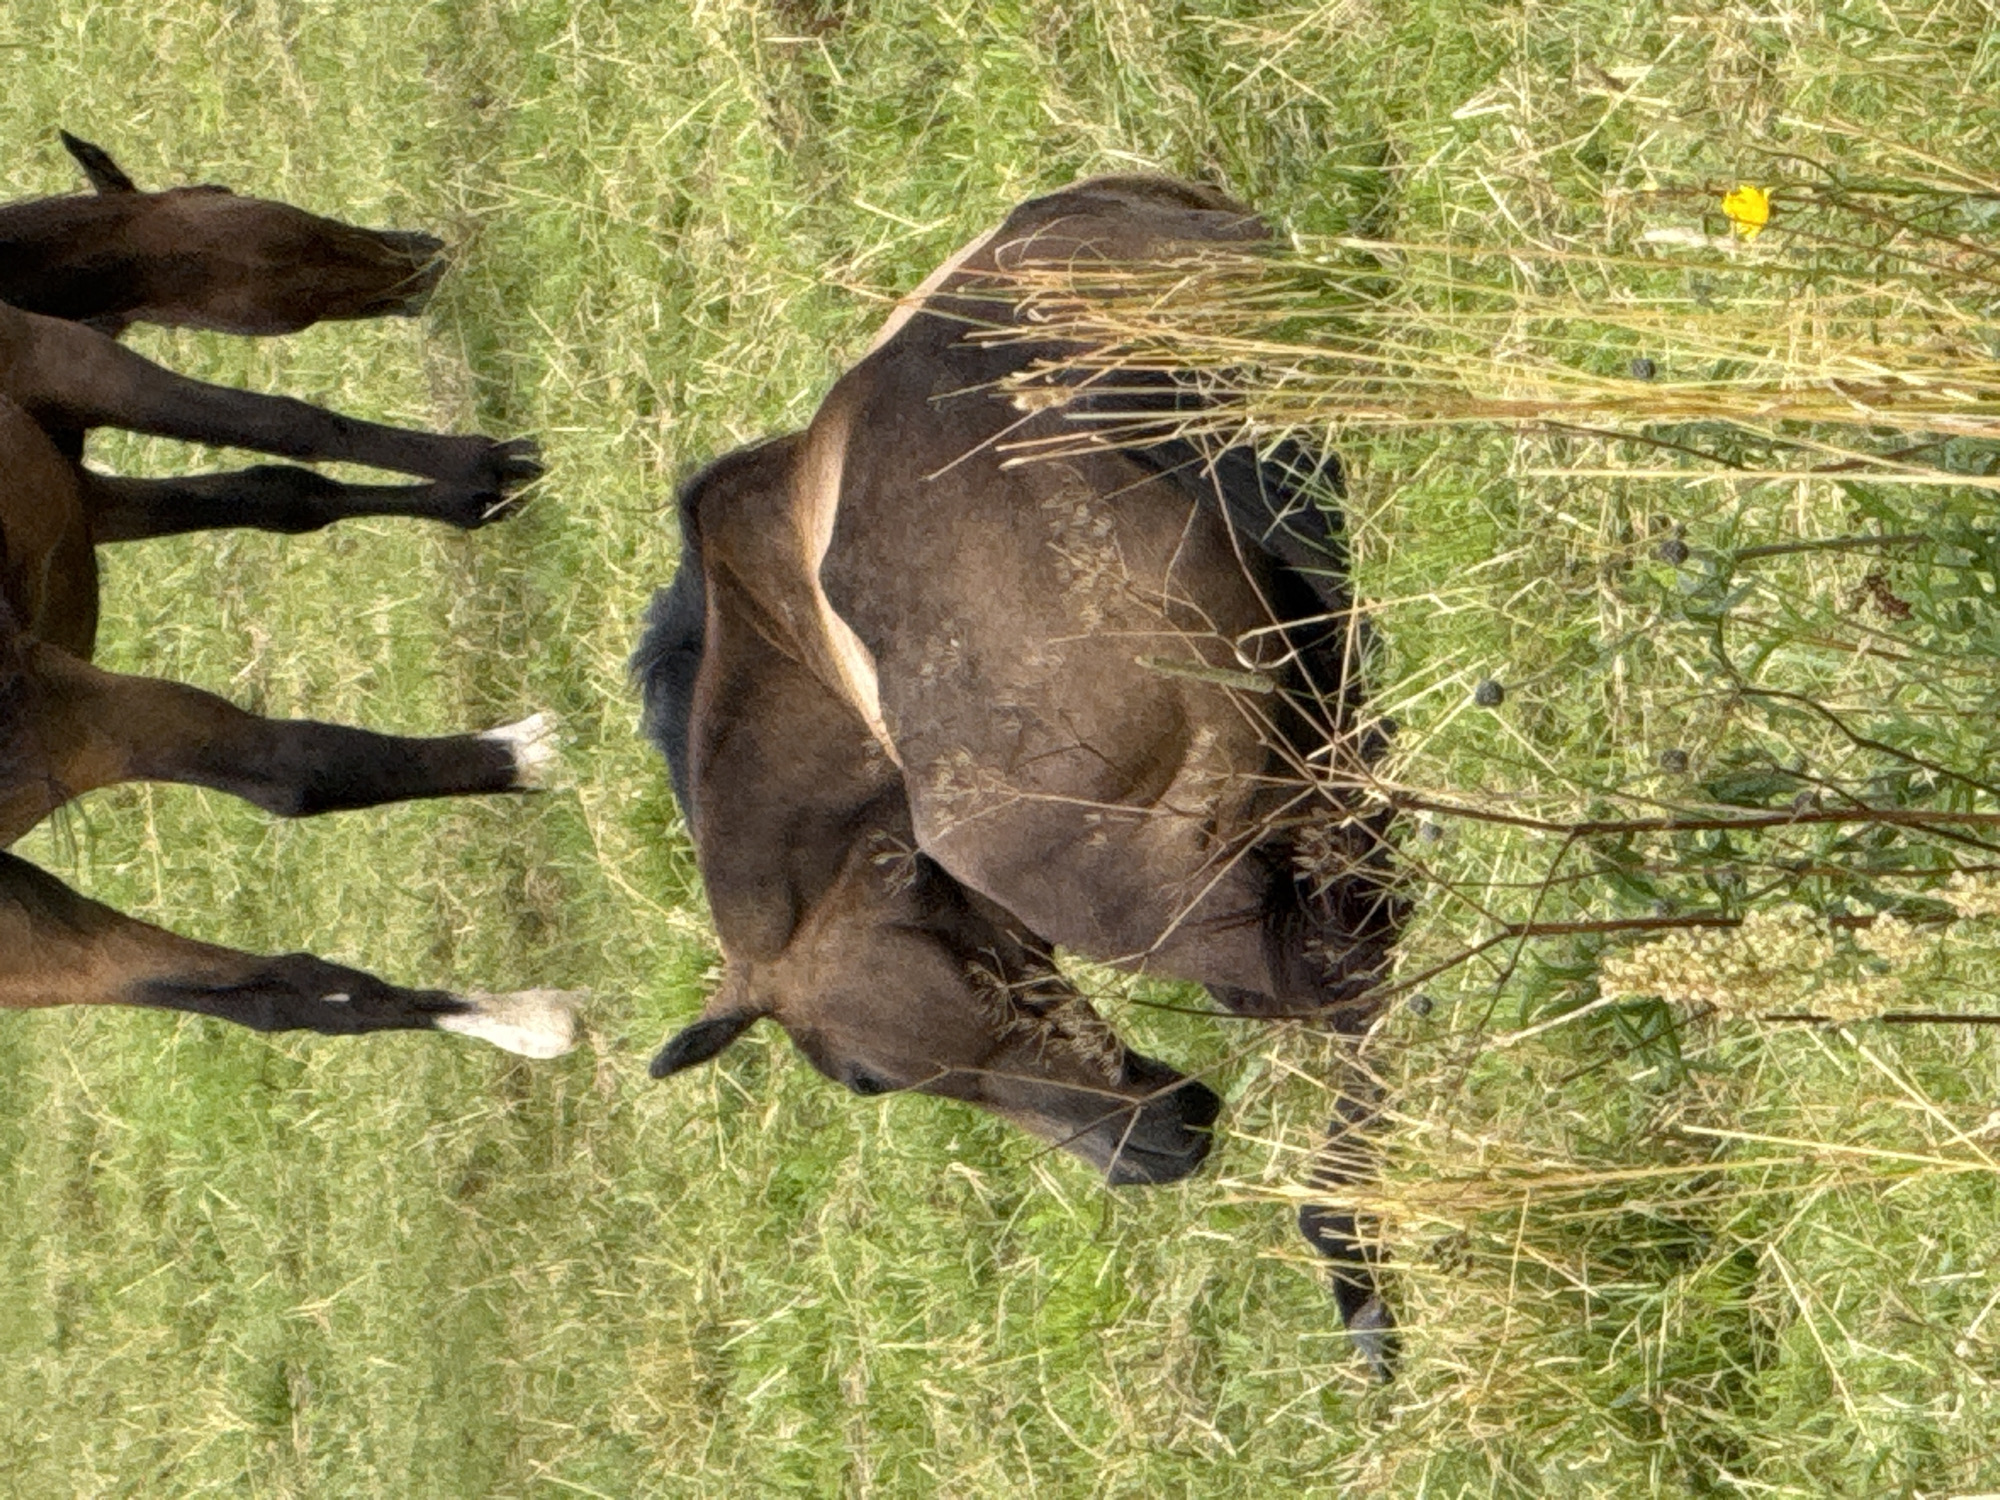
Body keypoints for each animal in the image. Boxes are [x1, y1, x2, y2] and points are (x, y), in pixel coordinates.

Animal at [0, 134, 575, 1059]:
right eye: (228, 194)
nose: (421, 253)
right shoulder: (78, 364)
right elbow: (288, 424)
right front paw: (482, 465)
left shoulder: (84, 497)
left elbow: (279, 493)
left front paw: (471, 498)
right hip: (72, 712)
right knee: (292, 770)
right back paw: (533, 752)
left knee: (285, 995)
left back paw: (520, 1018)